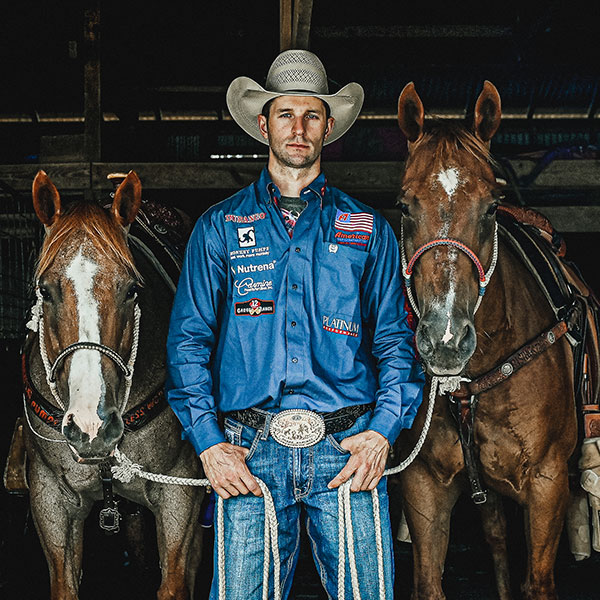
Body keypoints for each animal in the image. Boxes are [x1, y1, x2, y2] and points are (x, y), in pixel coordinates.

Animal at [21, 170, 204, 600]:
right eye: (44, 290)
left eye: (132, 289)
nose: (92, 426)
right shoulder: (50, 499)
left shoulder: (180, 495)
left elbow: (174, 582)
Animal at [396, 81, 580, 600]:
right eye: (404, 205)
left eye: (492, 207)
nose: (445, 339)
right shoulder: (425, 484)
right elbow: (430, 582)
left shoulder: (547, 484)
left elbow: (537, 583)